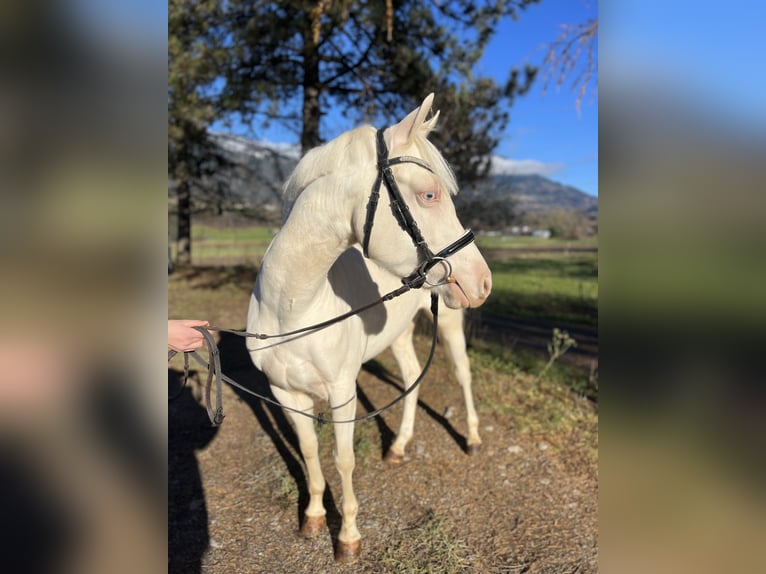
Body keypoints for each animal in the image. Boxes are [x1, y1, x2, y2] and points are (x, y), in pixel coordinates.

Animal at [249, 93, 496, 564]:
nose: (482, 281)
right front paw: (312, 517)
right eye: (429, 194)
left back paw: (473, 439)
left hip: (449, 322)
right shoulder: (283, 393)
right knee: (412, 377)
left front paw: (347, 538)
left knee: (463, 373)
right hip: (398, 336)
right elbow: (309, 450)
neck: (293, 310)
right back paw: (398, 447)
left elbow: (343, 459)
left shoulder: (343, 392)